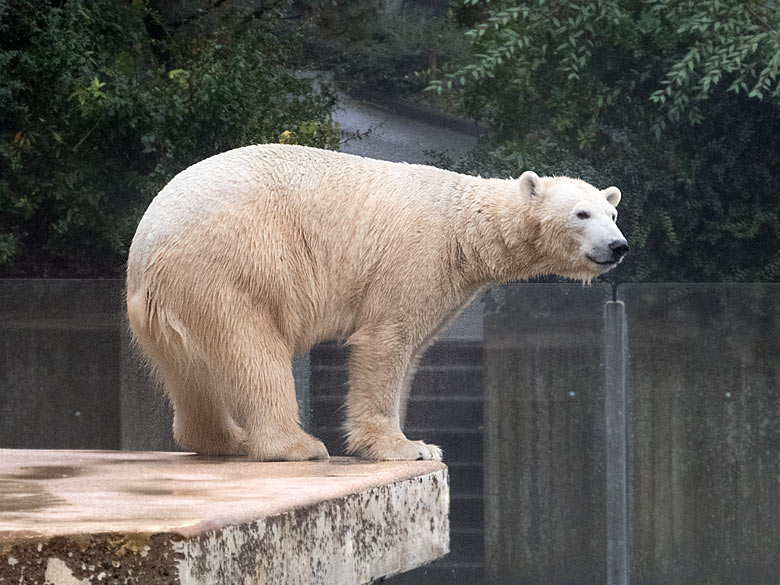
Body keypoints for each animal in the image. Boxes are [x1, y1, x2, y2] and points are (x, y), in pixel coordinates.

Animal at [128, 143, 628, 460]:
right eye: (581, 214)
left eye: (613, 212)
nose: (618, 246)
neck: (464, 227)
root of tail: (148, 240)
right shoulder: (416, 255)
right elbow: (386, 341)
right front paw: (409, 448)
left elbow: (415, 347)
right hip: (235, 263)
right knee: (253, 350)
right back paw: (296, 446)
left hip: (169, 303)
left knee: (190, 372)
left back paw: (226, 440)